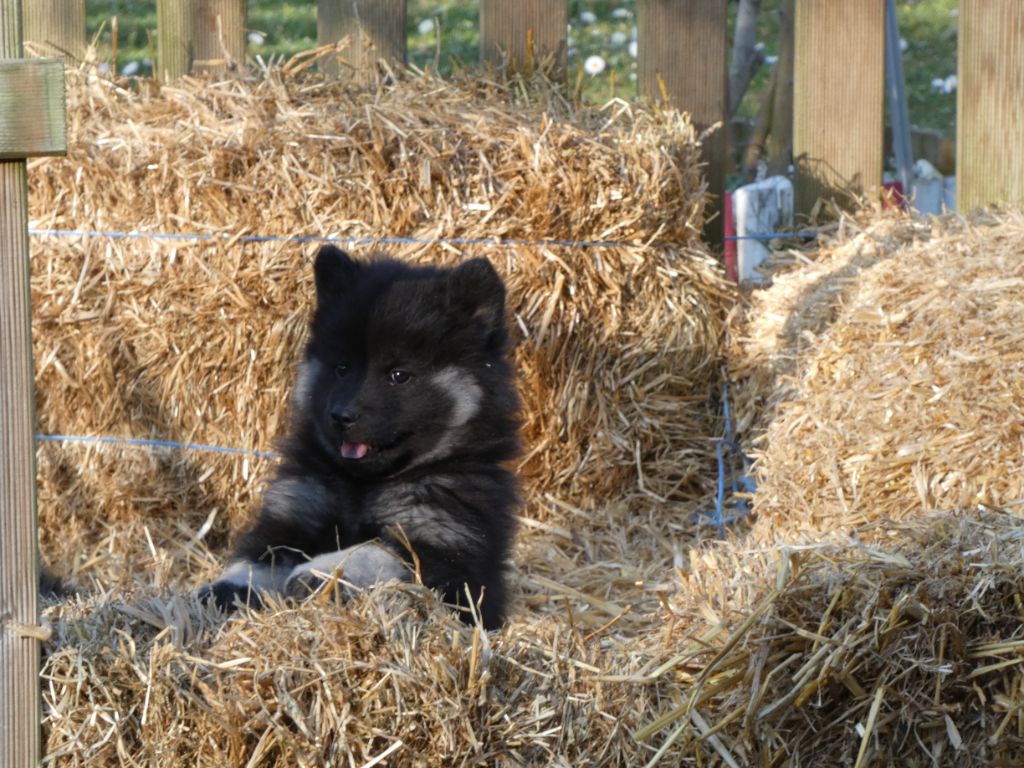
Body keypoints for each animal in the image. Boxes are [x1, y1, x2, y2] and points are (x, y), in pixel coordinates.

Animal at [201, 247, 520, 630]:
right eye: (342, 368)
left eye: (399, 375)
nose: (341, 416)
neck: (364, 486)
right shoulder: (295, 509)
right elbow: (261, 555)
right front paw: (232, 585)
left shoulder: (443, 545)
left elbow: (372, 549)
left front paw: (323, 572)